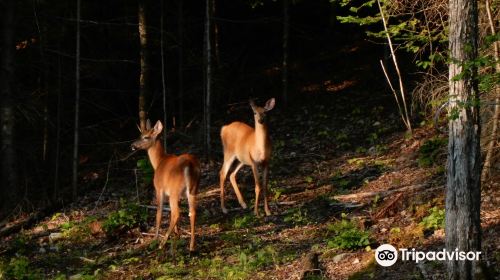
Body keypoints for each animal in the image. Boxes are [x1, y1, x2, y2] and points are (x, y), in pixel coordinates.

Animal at [131, 119, 201, 253]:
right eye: (139, 134)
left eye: (146, 137)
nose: (132, 145)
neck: (159, 162)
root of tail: (189, 164)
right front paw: (177, 234)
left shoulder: (159, 189)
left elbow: (159, 213)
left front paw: (155, 238)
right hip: (193, 189)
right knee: (192, 212)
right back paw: (191, 246)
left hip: (175, 190)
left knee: (177, 212)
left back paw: (162, 243)